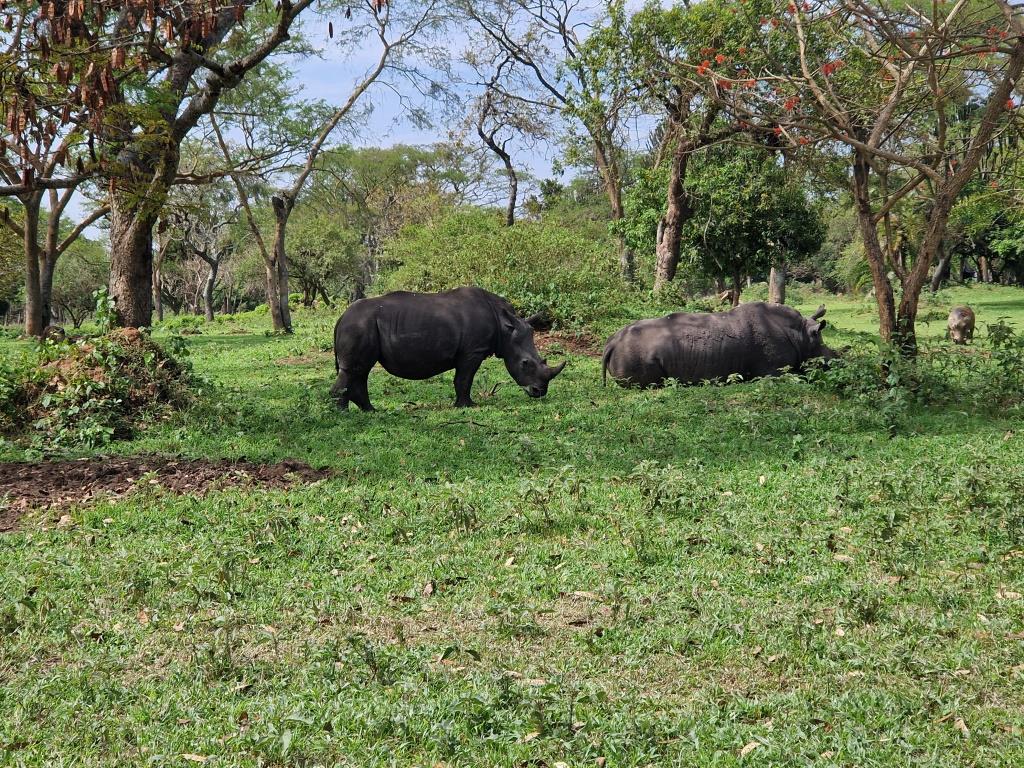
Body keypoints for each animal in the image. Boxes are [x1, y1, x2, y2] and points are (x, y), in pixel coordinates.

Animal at [331, 287, 565, 411]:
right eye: (525, 364)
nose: (539, 392)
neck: (504, 328)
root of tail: (341, 317)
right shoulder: (473, 351)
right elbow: (464, 379)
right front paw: (467, 406)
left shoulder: (472, 351)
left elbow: (462, 379)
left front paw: (463, 405)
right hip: (359, 325)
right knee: (354, 370)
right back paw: (342, 412)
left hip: (363, 325)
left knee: (361, 370)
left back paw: (369, 411)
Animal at [603, 301, 837, 388]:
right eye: (827, 355)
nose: (838, 362)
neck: (801, 334)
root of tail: (611, 342)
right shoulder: (774, 371)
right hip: (633, 351)